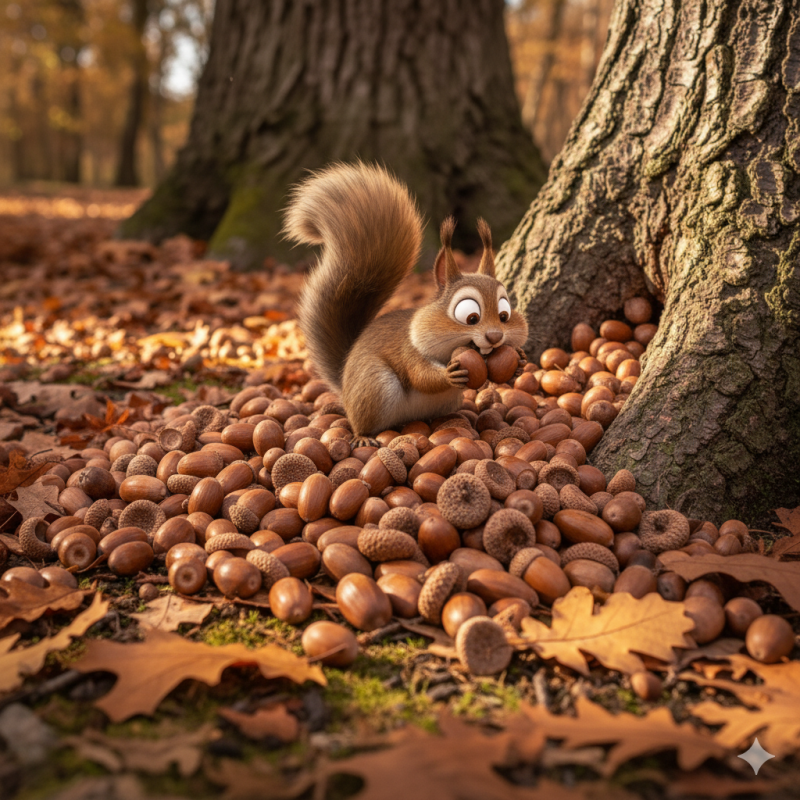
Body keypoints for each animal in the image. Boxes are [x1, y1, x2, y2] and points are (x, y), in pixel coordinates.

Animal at [283, 162, 529, 447]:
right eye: (470, 317)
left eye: (505, 314)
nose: (495, 337)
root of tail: (344, 385)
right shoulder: (408, 350)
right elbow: (420, 375)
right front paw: (448, 375)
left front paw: (520, 363)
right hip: (374, 386)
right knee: (361, 422)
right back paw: (363, 437)